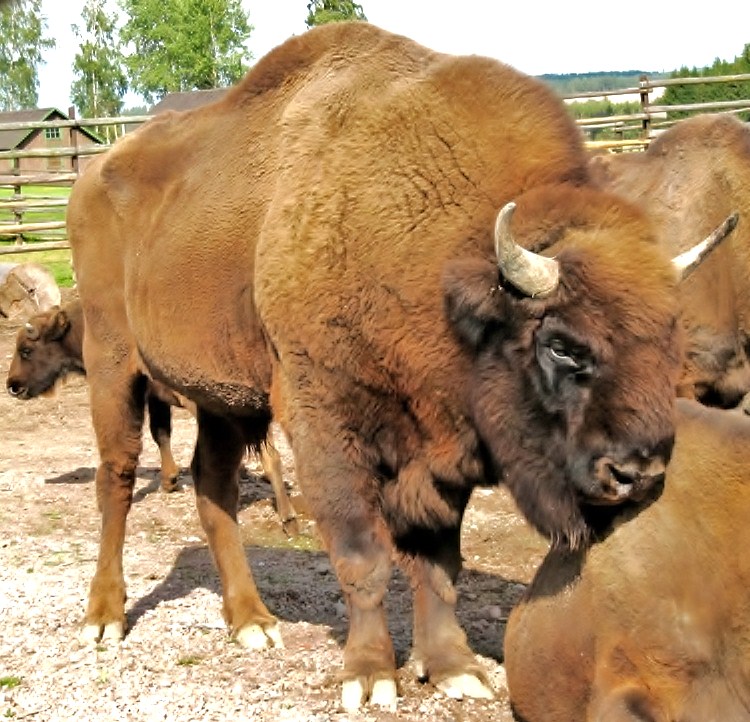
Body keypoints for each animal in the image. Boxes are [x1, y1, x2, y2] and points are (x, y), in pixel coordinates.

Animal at [66, 22, 728, 710]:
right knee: (116, 478)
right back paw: (105, 618)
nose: (639, 474)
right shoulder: (325, 423)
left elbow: (439, 563)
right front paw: (370, 677)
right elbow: (364, 556)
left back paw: (251, 622)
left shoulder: (440, 448)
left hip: (223, 397)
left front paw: (453, 667)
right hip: (114, 365)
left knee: (212, 485)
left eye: (671, 339)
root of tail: (93, 176)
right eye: (562, 344)